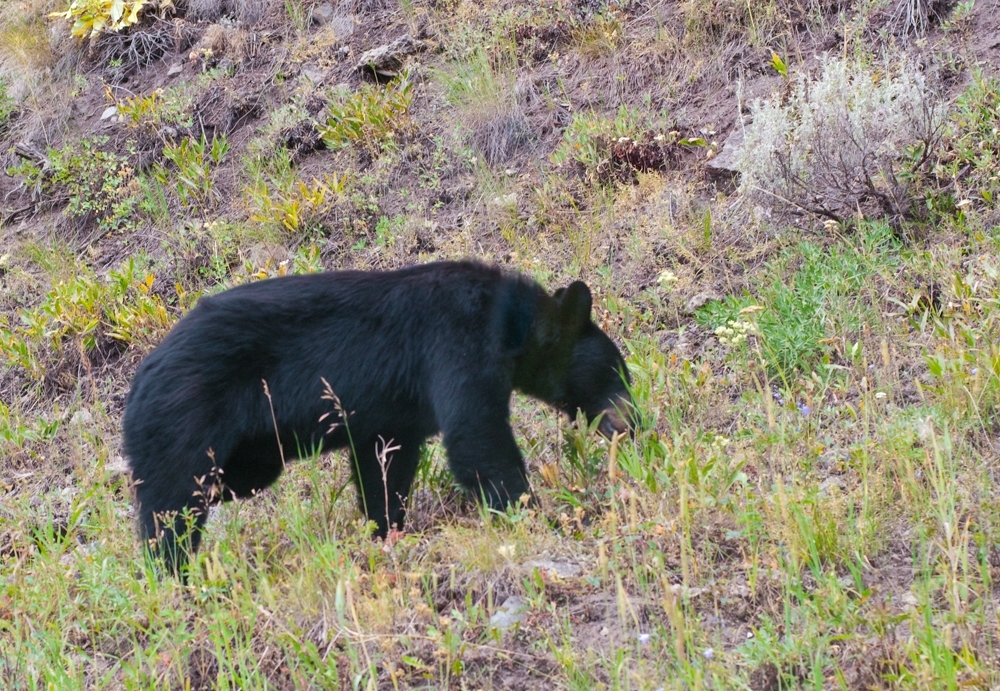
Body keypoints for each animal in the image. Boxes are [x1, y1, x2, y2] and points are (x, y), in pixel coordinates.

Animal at [123, 260, 632, 573]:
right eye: (618, 371)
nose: (632, 423)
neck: (508, 322)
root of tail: (138, 380)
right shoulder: (456, 342)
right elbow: (476, 438)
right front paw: (538, 517)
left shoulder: (392, 416)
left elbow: (384, 467)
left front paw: (386, 532)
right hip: (185, 420)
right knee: (170, 509)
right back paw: (173, 575)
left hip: (247, 458)